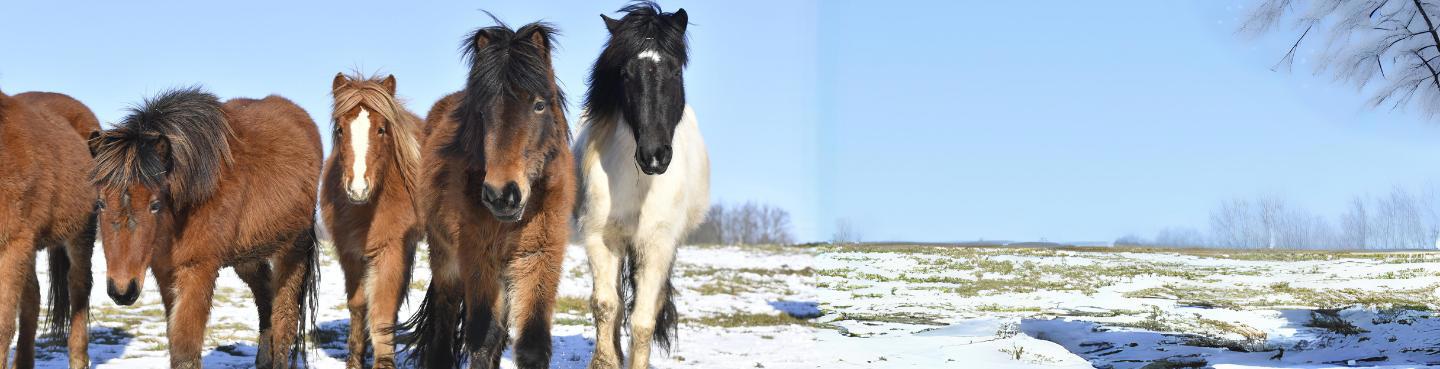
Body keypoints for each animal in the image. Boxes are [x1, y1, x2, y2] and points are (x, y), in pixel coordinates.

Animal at [0, 90, 98, 369]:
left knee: (79, 286)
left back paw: (79, 359)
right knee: (32, 298)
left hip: (81, 232)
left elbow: (3, 323)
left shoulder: (11, 245)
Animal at [90, 87, 321, 369]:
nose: (123, 291)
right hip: (248, 256)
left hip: (293, 250)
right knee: (265, 299)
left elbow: (185, 350)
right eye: (100, 203)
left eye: (154, 205)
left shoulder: (198, 269)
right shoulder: (165, 271)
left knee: (284, 318)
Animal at [319, 72, 420, 369]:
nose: (358, 188)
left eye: (381, 129)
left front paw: (384, 360)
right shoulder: (349, 252)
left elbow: (383, 310)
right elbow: (357, 305)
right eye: (341, 129)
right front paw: (355, 358)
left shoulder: (391, 250)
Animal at [403, 19, 576, 369]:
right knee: (444, 323)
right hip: (447, 262)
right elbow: (483, 338)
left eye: (539, 105)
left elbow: (531, 345)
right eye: (482, 111)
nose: (501, 194)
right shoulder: (479, 259)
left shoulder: (540, 259)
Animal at [573, 2, 708, 369]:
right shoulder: (601, 239)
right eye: (625, 74)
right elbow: (607, 306)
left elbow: (644, 320)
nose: (654, 155)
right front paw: (606, 361)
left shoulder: (656, 244)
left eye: (674, 71)